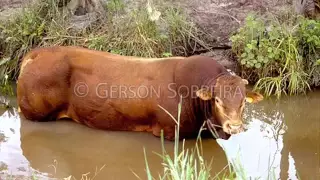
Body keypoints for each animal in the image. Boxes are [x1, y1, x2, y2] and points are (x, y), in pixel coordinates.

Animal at [16, 45, 264, 140]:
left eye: (243, 102)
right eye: (218, 100)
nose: (234, 126)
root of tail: (39, 52)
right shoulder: (169, 133)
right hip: (34, 114)